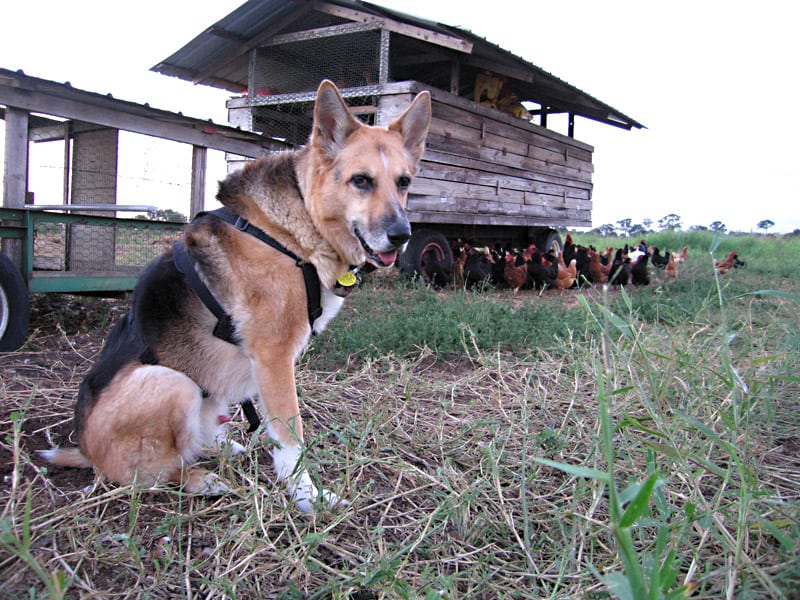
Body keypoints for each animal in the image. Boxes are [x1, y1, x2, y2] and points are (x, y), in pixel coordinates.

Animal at [42, 79, 432, 510]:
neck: (294, 227)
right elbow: (292, 437)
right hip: (173, 383)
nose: (402, 236)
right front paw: (307, 496)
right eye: (361, 180)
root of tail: (85, 450)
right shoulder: (274, 356)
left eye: (404, 182)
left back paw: (221, 447)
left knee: (195, 441)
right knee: (153, 474)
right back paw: (199, 480)